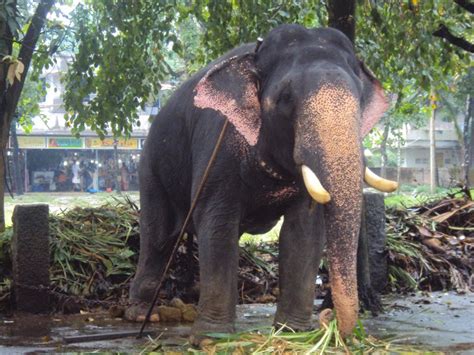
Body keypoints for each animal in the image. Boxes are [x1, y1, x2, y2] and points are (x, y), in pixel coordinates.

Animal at [126, 23, 396, 340]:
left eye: (360, 99)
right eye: (286, 98)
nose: (328, 319)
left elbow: (304, 232)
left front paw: (292, 332)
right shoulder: (217, 146)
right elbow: (218, 226)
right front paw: (212, 338)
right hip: (150, 168)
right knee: (158, 238)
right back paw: (143, 314)